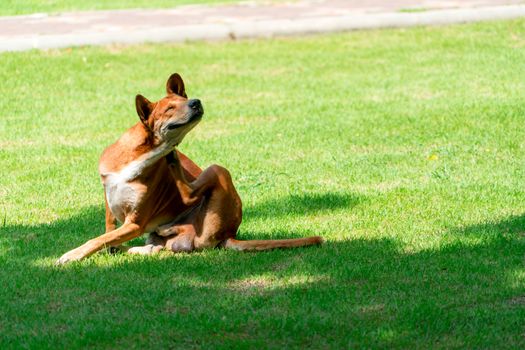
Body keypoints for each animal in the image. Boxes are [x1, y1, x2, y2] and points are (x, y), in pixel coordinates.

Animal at [55, 74, 322, 266]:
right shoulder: (109, 198)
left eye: (186, 100)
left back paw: (173, 163)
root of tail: (230, 233)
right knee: (160, 247)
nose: (196, 102)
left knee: (189, 198)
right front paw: (99, 250)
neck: (143, 153)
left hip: (218, 171)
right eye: (169, 109)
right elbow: (107, 232)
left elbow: (100, 238)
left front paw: (73, 254)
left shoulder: (136, 223)